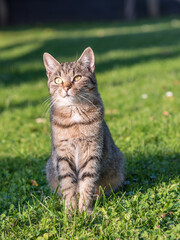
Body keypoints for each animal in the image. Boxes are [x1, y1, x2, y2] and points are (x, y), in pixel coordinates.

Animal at [43, 47, 125, 214]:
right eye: (58, 80)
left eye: (77, 77)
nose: (66, 87)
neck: (75, 112)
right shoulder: (63, 154)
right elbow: (68, 184)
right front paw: (69, 212)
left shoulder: (92, 151)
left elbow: (87, 183)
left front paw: (84, 211)